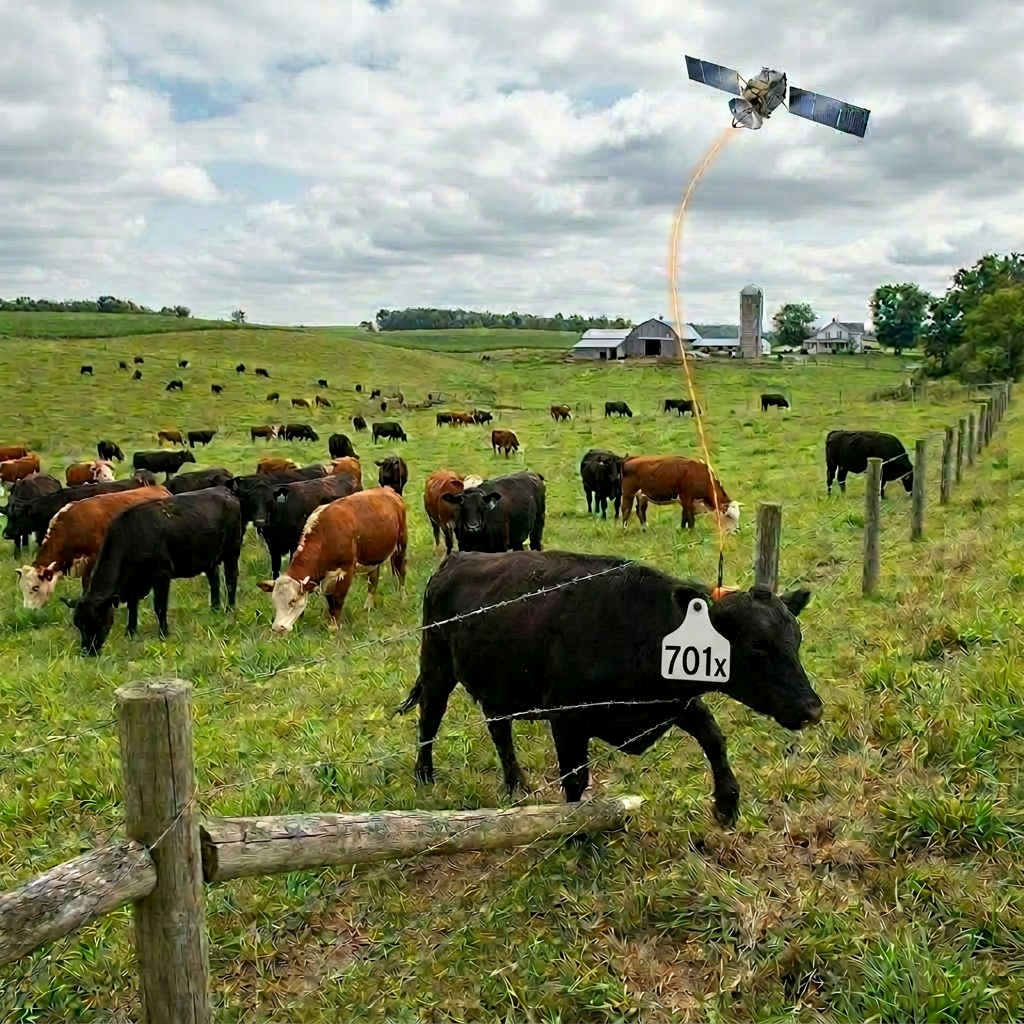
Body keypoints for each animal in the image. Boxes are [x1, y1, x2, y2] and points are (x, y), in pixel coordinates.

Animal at [73, 488, 242, 654]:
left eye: (97, 621)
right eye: (78, 624)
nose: (87, 651)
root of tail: (225, 491)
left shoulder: (162, 575)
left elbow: (159, 606)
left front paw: (163, 633)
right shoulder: (134, 583)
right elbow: (132, 608)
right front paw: (131, 633)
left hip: (231, 551)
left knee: (230, 580)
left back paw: (229, 610)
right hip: (209, 558)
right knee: (214, 580)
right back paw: (214, 610)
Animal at [258, 486, 407, 633]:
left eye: (292, 601)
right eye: (274, 601)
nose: (277, 627)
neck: (326, 536)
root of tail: (388, 490)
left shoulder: (347, 570)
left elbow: (338, 598)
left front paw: (334, 626)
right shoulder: (327, 577)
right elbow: (330, 599)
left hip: (401, 545)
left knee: (401, 572)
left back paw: (402, 597)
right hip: (373, 557)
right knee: (373, 578)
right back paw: (369, 605)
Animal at [396, 550, 820, 823]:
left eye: (797, 638)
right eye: (757, 645)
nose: (813, 708)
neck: (642, 630)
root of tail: (459, 557)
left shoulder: (674, 702)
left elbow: (713, 737)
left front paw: (727, 804)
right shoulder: (567, 719)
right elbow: (575, 778)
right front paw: (576, 832)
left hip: (496, 683)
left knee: (498, 729)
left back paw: (516, 785)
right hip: (436, 665)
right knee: (430, 717)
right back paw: (425, 775)